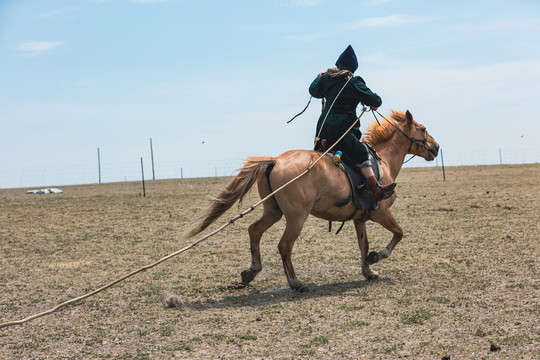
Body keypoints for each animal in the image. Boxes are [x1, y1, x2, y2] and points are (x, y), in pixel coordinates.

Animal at [186, 108, 438, 292]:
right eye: (423, 129)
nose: (436, 147)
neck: (382, 161)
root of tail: (275, 160)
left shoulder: (360, 219)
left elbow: (363, 244)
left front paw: (368, 270)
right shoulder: (382, 213)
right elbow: (399, 233)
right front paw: (378, 256)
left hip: (273, 211)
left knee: (254, 230)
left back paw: (251, 271)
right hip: (297, 217)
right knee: (284, 245)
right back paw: (296, 283)